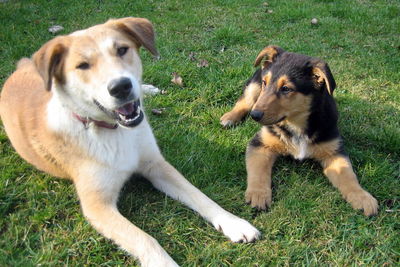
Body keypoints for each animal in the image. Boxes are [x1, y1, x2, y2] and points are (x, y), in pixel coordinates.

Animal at [0, 17, 260, 266]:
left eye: (122, 49)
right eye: (82, 65)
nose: (121, 86)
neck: (113, 132)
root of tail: (22, 66)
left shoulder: (156, 165)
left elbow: (200, 196)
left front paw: (234, 223)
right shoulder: (97, 206)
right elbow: (146, 239)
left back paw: (149, 88)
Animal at [222, 46, 378, 218]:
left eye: (286, 89)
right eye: (265, 83)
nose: (254, 116)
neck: (296, 123)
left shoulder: (334, 150)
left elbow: (348, 175)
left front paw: (362, 197)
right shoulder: (260, 144)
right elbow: (258, 172)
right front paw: (258, 194)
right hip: (253, 86)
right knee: (245, 101)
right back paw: (229, 117)